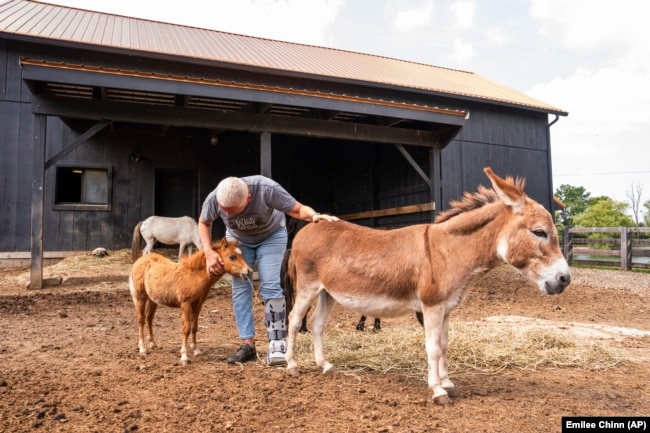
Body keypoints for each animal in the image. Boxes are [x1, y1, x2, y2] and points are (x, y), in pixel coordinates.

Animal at [128, 236, 252, 364]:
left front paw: (196, 350)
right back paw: (142, 349)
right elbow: (186, 328)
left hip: (153, 299)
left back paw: (152, 344)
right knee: (141, 320)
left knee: (149, 318)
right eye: (232, 256)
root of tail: (139, 260)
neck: (194, 276)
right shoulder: (185, 304)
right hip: (140, 297)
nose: (249, 271)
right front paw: (184, 356)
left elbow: (194, 327)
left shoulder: (198, 305)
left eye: (241, 255)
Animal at [284, 167, 568, 404]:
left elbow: (444, 345)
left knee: (317, 325)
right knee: (295, 320)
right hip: (308, 287)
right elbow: (432, 348)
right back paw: (292, 365)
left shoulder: (447, 308)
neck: (448, 251)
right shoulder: (431, 307)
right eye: (540, 232)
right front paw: (438, 390)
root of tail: (311, 227)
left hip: (328, 292)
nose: (565, 279)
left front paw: (448, 383)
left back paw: (325, 365)